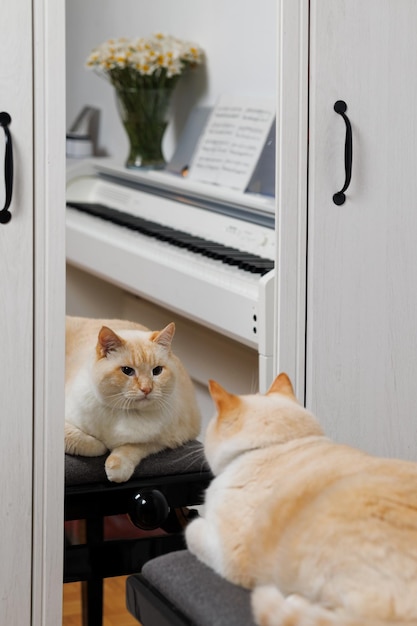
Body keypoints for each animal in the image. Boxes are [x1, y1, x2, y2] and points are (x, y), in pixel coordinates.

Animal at [65, 316, 200, 482]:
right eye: (127, 370)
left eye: (157, 371)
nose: (146, 389)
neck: (125, 413)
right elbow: (83, 441)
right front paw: (101, 446)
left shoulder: (165, 440)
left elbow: (133, 448)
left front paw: (116, 469)